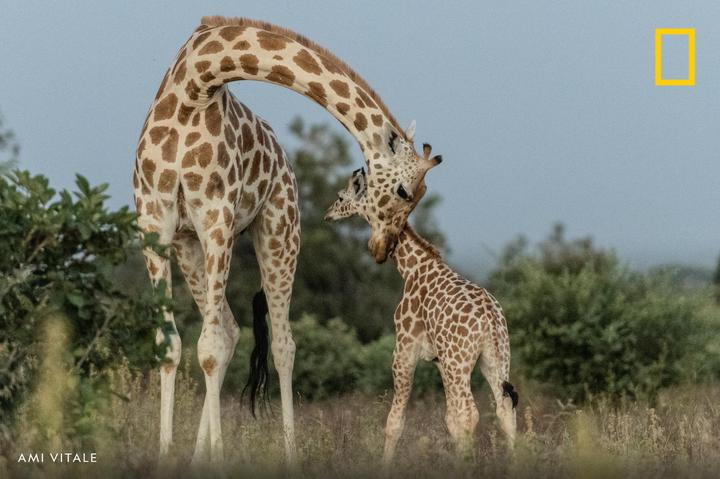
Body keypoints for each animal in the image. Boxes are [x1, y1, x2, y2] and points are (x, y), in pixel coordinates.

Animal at [132, 15, 442, 464]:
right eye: (405, 192)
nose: (383, 248)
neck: (194, 86)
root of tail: (285, 165)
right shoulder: (154, 221)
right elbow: (171, 345)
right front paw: (166, 456)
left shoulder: (217, 219)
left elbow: (207, 349)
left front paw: (219, 461)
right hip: (189, 245)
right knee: (231, 330)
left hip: (280, 231)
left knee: (281, 344)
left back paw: (290, 454)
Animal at [324, 153, 516, 462]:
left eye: (342, 195)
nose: (328, 214)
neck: (411, 268)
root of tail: (489, 318)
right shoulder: (438, 359)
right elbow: (450, 419)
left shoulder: (404, 348)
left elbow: (395, 420)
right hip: (495, 357)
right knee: (503, 408)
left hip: (459, 361)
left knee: (470, 412)